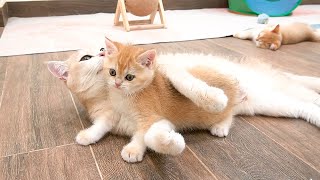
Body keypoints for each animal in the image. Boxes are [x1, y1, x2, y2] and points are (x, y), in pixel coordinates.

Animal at [103, 38, 240, 161]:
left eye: (129, 77)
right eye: (112, 72)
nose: (117, 84)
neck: (128, 95)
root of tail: (231, 82)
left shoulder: (150, 117)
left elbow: (142, 134)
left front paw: (133, 150)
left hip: (212, 113)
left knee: (230, 113)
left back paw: (221, 127)